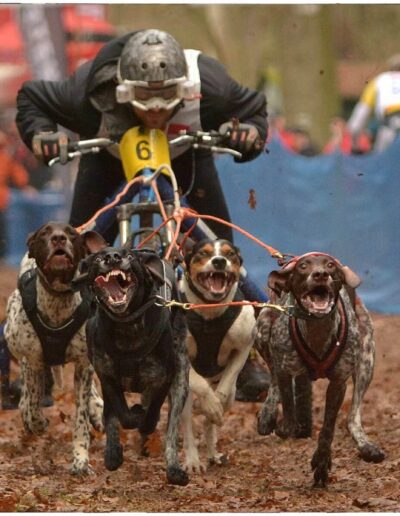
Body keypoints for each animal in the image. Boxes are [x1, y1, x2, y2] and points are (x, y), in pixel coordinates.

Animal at [4, 222, 105, 475]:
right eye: (44, 233)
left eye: (71, 233)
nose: (58, 238)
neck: (58, 301)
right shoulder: (33, 362)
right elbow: (32, 405)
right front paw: (38, 423)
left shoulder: (83, 365)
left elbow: (81, 418)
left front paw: (81, 460)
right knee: (27, 396)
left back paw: (97, 408)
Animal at [77, 245, 190, 486]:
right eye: (98, 258)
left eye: (129, 255)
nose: (112, 257)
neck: (127, 326)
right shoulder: (107, 377)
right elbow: (122, 415)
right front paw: (132, 417)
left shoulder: (164, 379)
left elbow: (151, 416)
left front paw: (143, 416)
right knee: (111, 414)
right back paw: (112, 454)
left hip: (181, 381)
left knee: (171, 428)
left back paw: (174, 470)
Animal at [179, 238, 256, 473]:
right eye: (203, 253)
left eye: (230, 253)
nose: (219, 261)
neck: (210, 313)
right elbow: (201, 387)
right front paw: (211, 404)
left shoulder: (244, 345)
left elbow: (228, 379)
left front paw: (216, 403)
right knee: (188, 425)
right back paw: (193, 461)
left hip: (233, 395)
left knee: (209, 421)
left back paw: (213, 451)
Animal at [254, 252, 385, 487]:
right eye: (303, 267)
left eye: (331, 265)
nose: (321, 274)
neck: (318, 330)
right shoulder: (284, 367)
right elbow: (287, 405)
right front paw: (282, 424)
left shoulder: (338, 383)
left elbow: (328, 429)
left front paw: (322, 464)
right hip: (262, 331)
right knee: (273, 379)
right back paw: (268, 415)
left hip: (367, 357)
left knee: (352, 417)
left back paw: (365, 444)